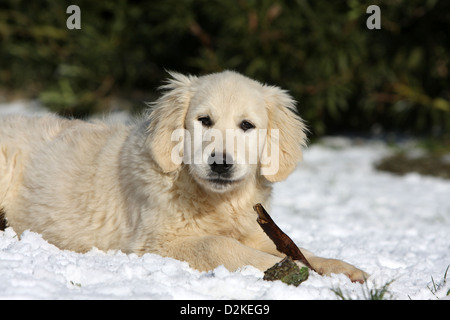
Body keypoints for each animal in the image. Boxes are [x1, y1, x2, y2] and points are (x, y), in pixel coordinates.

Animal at [0, 70, 368, 282]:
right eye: (204, 120)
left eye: (246, 125)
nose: (220, 163)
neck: (213, 198)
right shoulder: (156, 242)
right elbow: (221, 246)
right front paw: (290, 271)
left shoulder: (253, 229)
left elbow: (297, 248)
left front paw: (342, 269)